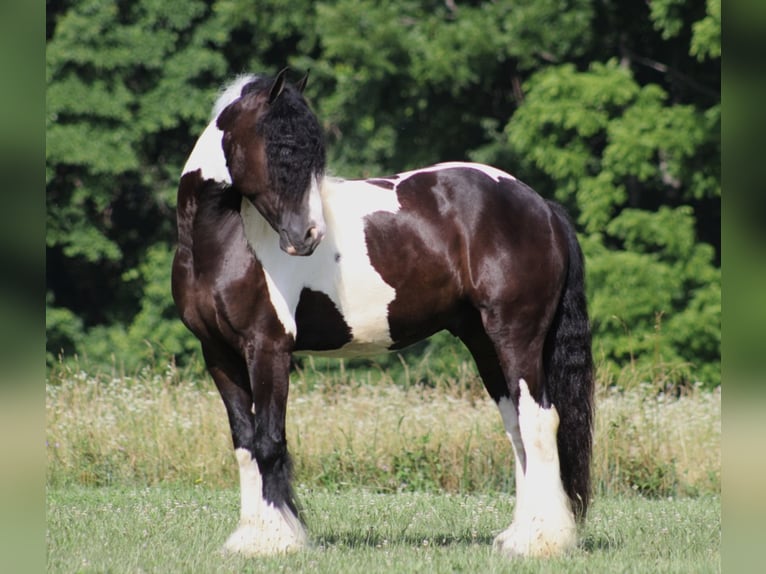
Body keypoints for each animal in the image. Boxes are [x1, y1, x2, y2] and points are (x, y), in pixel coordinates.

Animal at [172, 70, 592, 560]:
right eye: (284, 147)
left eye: (305, 150)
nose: (307, 236)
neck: (223, 244)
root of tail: (541, 206)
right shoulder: (218, 354)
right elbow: (244, 444)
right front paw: (250, 537)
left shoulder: (268, 348)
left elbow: (269, 441)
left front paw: (277, 539)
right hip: (484, 341)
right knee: (516, 427)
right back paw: (516, 535)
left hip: (516, 336)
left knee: (539, 420)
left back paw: (540, 540)